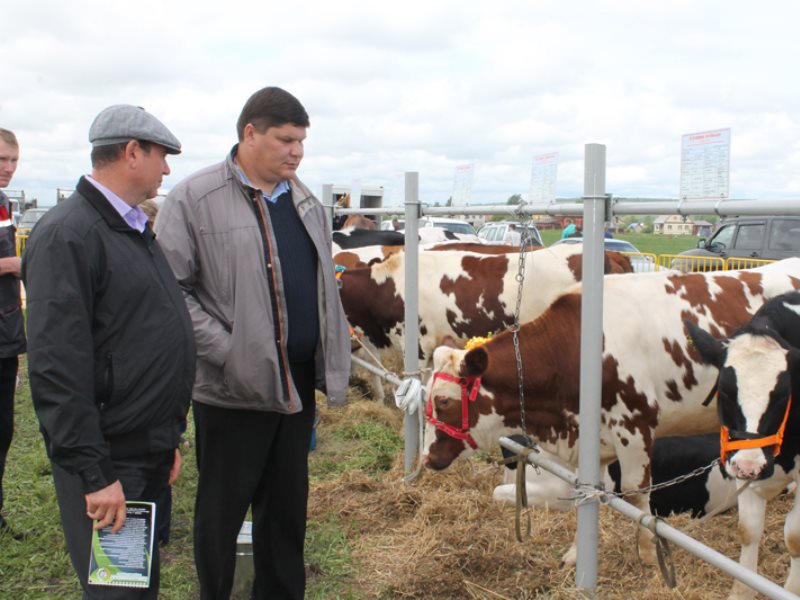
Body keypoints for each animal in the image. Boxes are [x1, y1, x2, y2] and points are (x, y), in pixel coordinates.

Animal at [422, 258, 796, 568]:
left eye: (444, 401)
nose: (426, 458)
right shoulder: (593, 437)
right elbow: (587, 490)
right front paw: (576, 554)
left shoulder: (635, 424)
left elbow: (635, 492)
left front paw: (648, 554)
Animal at [684, 290, 800, 600]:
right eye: (725, 390)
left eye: (783, 394)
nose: (750, 466)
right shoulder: (738, 463)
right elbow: (748, 530)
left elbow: (794, 537)